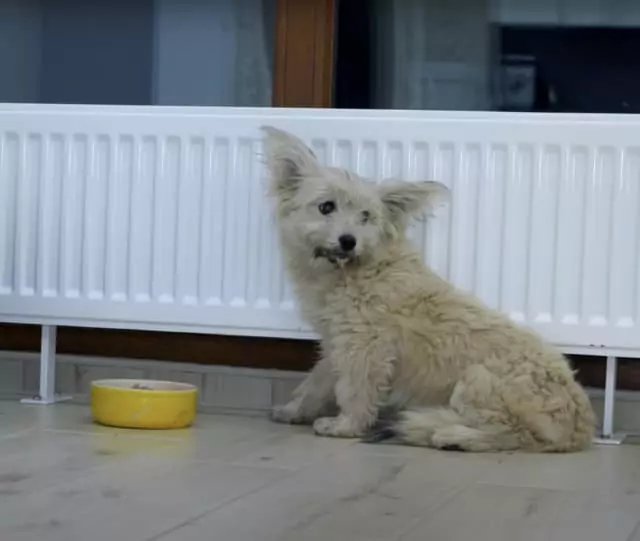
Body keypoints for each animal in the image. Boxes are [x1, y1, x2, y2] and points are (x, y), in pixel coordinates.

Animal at [260, 126, 596, 452]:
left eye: (366, 216)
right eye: (326, 207)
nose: (348, 241)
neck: (358, 269)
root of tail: (580, 428)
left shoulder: (365, 348)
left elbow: (356, 390)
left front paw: (346, 426)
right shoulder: (337, 343)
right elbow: (316, 381)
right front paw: (294, 410)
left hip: (479, 381)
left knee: (512, 434)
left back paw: (448, 434)